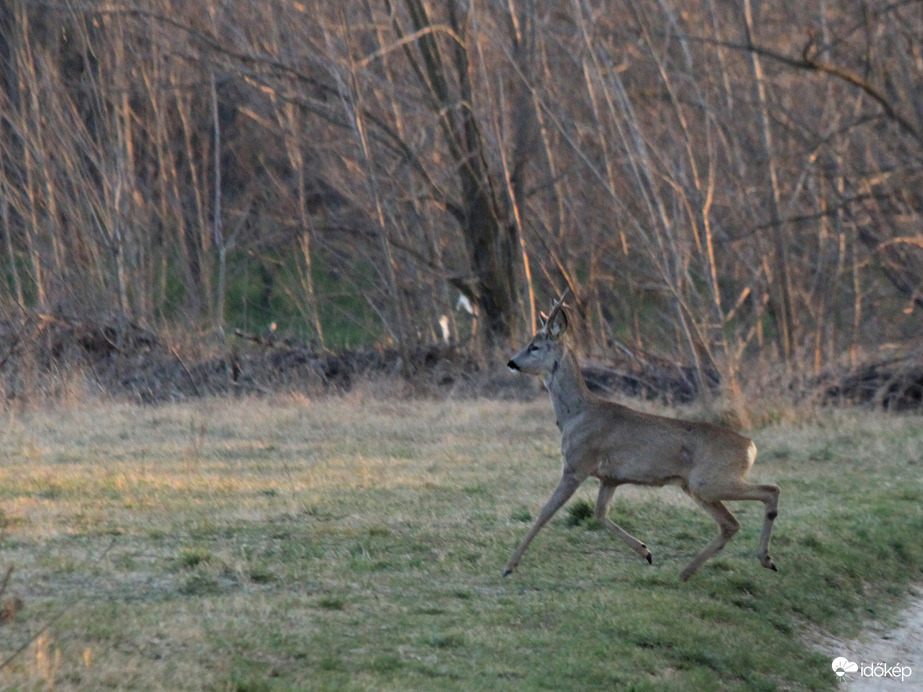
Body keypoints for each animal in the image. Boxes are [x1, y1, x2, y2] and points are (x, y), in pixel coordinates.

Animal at [506, 290, 780, 580]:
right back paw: (686, 573)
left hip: (710, 480)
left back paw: (765, 558)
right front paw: (646, 551)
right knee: (730, 523)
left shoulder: (577, 464)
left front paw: (509, 565)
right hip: (696, 486)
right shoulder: (610, 478)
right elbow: (599, 513)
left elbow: (546, 512)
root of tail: (750, 446)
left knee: (770, 490)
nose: (511, 362)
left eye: (534, 346)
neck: (576, 414)